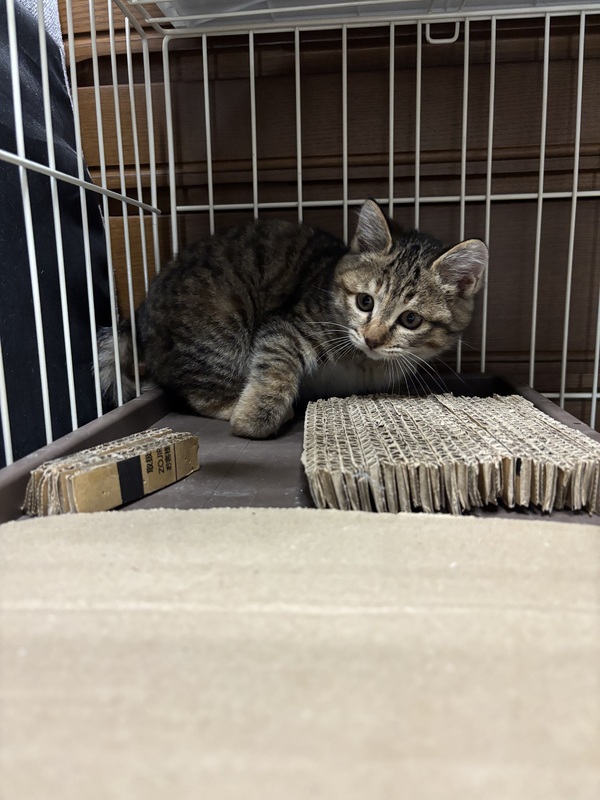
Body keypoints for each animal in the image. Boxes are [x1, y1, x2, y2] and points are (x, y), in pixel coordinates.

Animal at [98, 200, 487, 439]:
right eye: (365, 301)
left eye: (410, 320)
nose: (373, 338)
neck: (364, 362)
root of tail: (142, 311)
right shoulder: (288, 325)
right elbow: (275, 367)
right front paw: (253, 419)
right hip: (219, 327)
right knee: (200, 390)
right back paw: (235, 405)